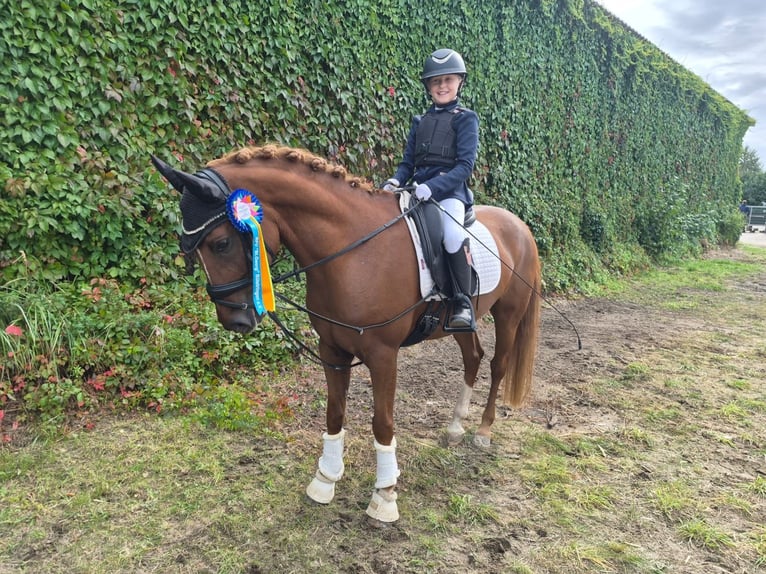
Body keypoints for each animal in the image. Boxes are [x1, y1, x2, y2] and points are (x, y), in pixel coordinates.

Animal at [151, 145, 541, 523]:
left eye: (220, 244)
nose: (236, 321)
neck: (354, 251)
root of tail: (519, 226)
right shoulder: (332, 349)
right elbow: (334, 412)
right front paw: (325, 480)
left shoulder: (383, 355)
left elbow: (382, 423)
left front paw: (385, 495)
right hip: (460, 322)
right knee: (473, 357)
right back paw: (456, 427)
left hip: (507, 315)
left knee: (497, 365)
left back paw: (483, 432)